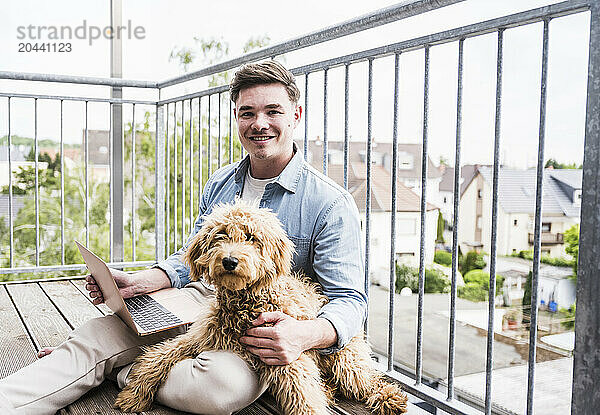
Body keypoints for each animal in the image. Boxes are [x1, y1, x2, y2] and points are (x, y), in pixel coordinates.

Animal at [113, 201, 408, 412]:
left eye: (251, 237)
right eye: (220, 235)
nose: (230, 261)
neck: (246, 303)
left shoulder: (287, 355)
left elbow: (304, 398)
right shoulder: (200, 337)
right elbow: (158, 356)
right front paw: (132, 394)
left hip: (344, 359)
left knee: (364, 380)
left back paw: (388, 396)